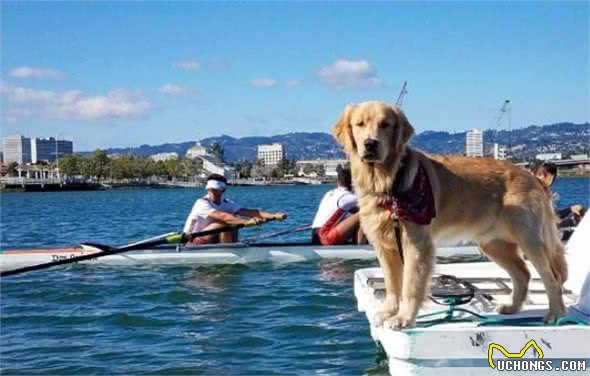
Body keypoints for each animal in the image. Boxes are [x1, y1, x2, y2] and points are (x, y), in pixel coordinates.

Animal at [332, 102, 568, 328]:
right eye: (360, 124)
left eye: (385, 125)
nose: (370, 144)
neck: (388, 181)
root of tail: (531, 176)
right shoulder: (384, 246)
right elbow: (392, 284)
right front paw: (389, 311)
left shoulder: (416, 244)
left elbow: (410, 285)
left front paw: (404, 317)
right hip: (494, 244)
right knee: (523, 274)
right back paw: (512, 307)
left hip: (530, 240)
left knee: (552, 277)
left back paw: (556, 313)